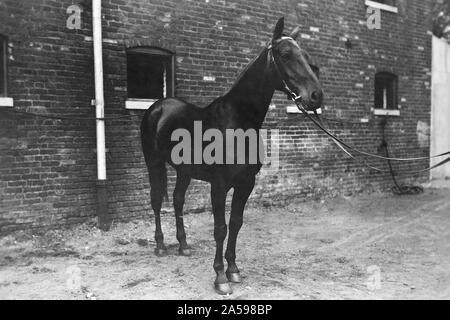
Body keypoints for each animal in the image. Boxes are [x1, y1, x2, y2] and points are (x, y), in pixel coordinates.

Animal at [141, 16, 324, 294]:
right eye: (285, 54)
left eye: (305, 55)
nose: (316, 96)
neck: (237, 122)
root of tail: (158, 106)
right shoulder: (219, 185)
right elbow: (220, 228)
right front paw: (220, 277)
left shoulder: (246, 183)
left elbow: (236, 223)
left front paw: (234, 270)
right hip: (154, 163)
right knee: (156, 200)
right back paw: (161, 245)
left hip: (184, 171)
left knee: (177, 200)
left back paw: (183, 245)